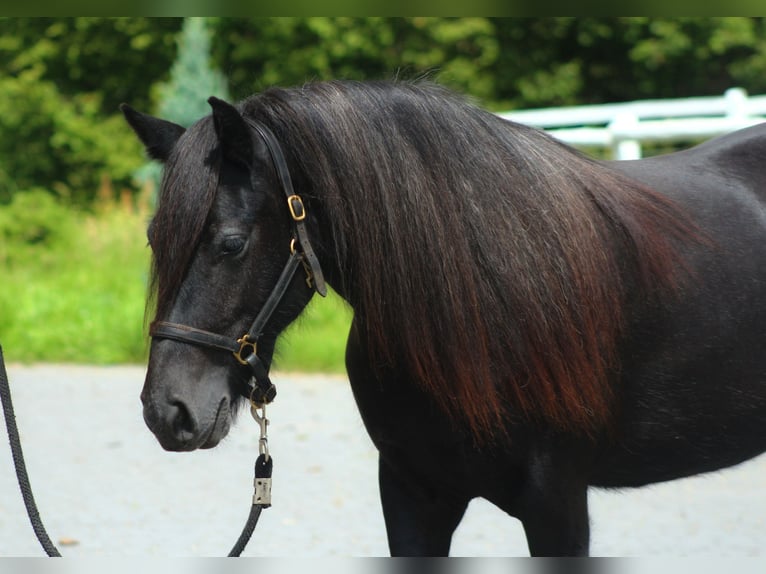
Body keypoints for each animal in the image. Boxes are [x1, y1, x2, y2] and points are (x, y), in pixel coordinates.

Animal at [123, 79, 766, 556]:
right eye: (155, 240)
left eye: (231, 243)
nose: (168, 411)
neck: (484, 308)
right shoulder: (413, 495)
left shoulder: (556, 505)